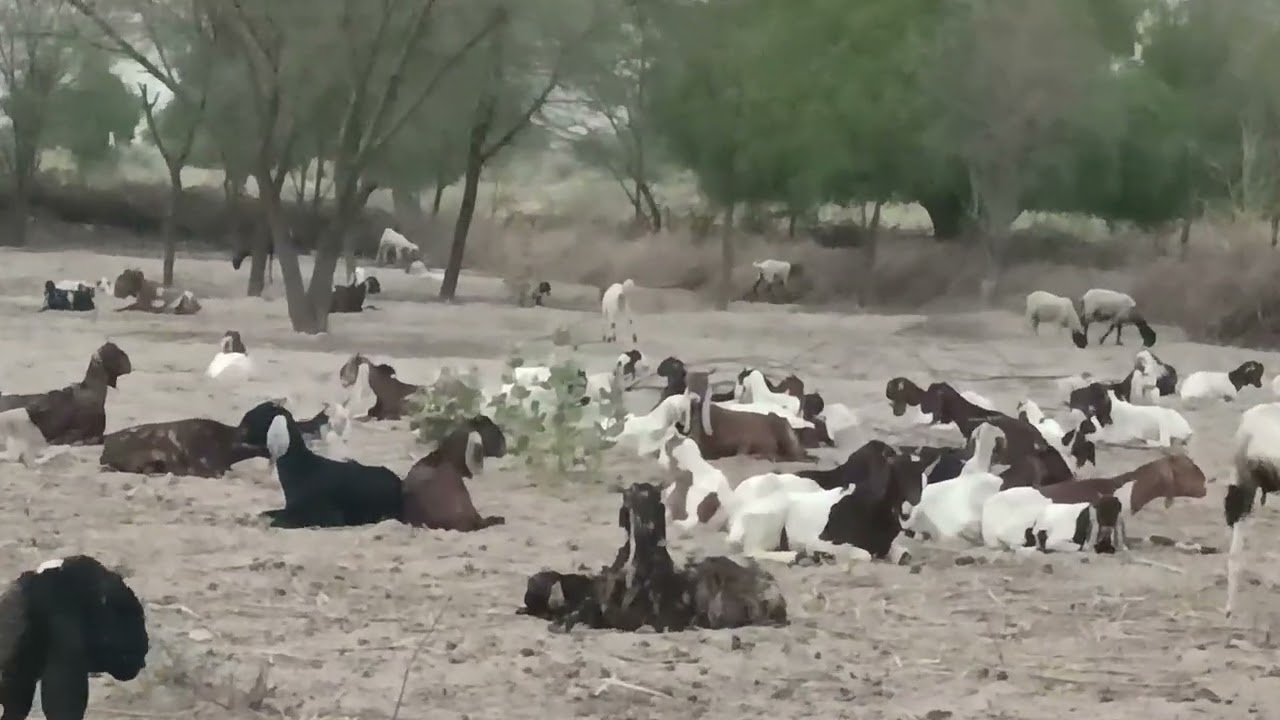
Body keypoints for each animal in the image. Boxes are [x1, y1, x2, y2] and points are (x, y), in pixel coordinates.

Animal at [238, 402, 403, 528]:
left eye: (250, 421)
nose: (239, 436)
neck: (303, 468)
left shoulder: (325, 515)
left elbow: (278, 522)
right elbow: (266, 513)